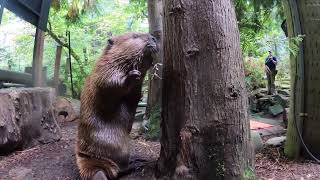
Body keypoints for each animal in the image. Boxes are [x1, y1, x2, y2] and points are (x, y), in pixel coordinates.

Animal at [76, 31, 159, 179]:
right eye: (135, 36)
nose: (154, 38)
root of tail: (94, 165)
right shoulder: (102, 69)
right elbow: (107, 82)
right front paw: (133, 75)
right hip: (119, 146)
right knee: (119, 169)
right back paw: (137, 164)